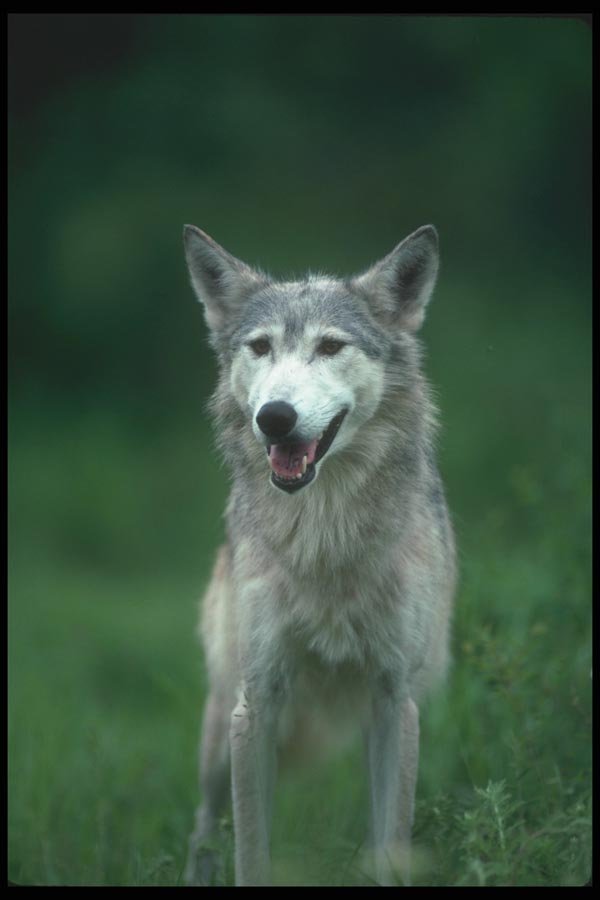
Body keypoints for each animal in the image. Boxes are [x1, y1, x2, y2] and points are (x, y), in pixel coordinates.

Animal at [183, 224, 456, 887]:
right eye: (260, 347)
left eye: (331, 346)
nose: (275, 417)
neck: (324, 535)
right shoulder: (256, 705)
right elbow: (251, 853)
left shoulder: (394, 703)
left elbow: (390, 846)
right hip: (217, 738)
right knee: (204, 828)